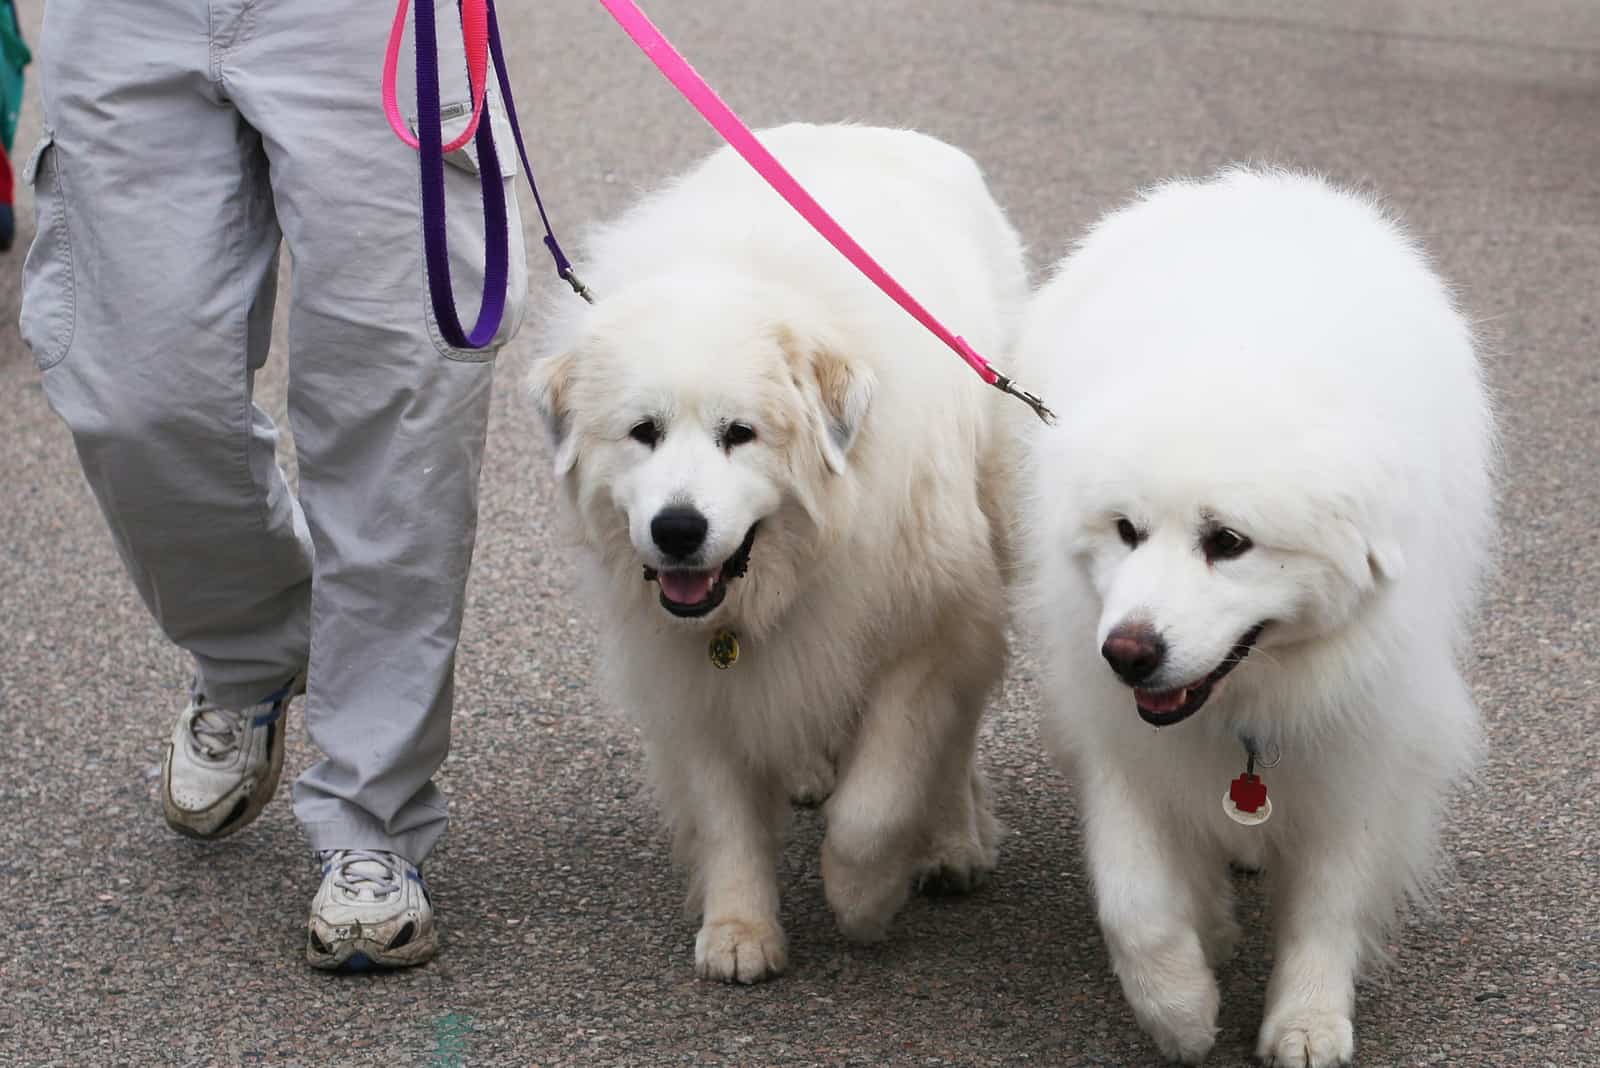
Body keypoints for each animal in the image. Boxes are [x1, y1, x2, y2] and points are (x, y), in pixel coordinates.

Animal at [524, 123, 1024, 984]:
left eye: (740, 434)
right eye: (644, 432)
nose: (678, 530)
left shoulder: (930, 636)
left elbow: (876, 803)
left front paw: (864, 898)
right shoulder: (691, 677)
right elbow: (725, 814)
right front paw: (738, 930)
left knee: (952, 743)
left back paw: (952, 841)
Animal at [1017, 171, 1491, 1061]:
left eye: (1228, 543)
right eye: (1126, 532)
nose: (1127, 653)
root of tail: (1257, 188)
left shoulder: (1366, 739)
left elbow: (1331, 898)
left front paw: (1306, 1021)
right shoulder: (1115, 732)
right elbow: (1134, 897)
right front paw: (1180, 1007)